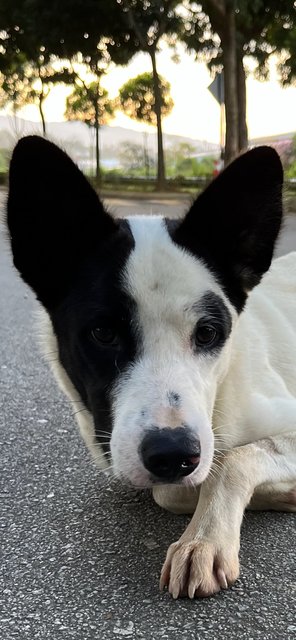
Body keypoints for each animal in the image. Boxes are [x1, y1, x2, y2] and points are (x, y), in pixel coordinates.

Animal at [6, 136, 296, 600]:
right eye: (103, 332)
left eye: (208, 333)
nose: (173, 453)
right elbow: (173, 489)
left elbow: (229, 462)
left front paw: (205, 537)